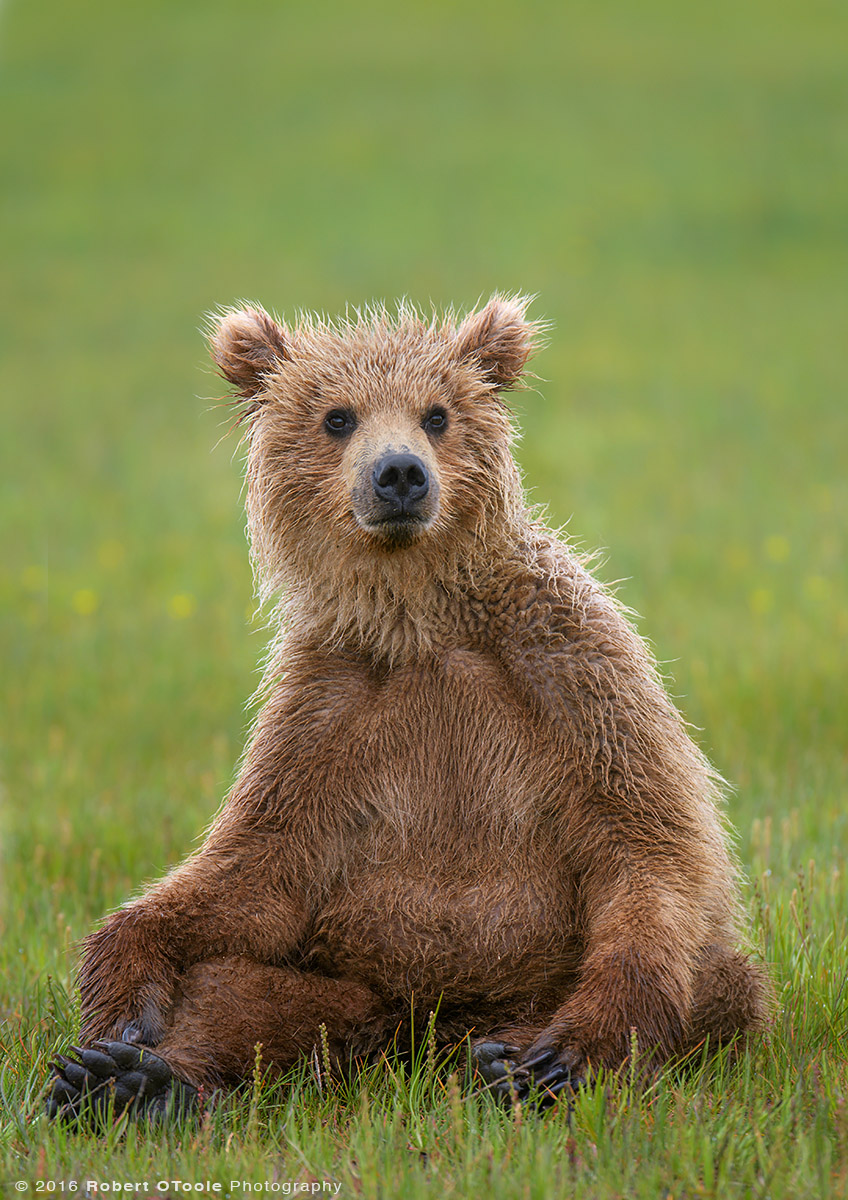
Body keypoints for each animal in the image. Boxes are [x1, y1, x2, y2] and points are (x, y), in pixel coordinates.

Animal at [46, 292, 767, 1123]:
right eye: (337, 416)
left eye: (437, 413)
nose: (398, 473)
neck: (421, 623)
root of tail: (427, 1041)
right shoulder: (326, 708)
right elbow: (250, 877)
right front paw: (120, 1009)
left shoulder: (571, 670)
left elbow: (651, 847)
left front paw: (566, 1056)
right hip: (358, 986)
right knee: (243, 990)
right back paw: (134, 1081)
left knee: (722, 988)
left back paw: (512, 1067)